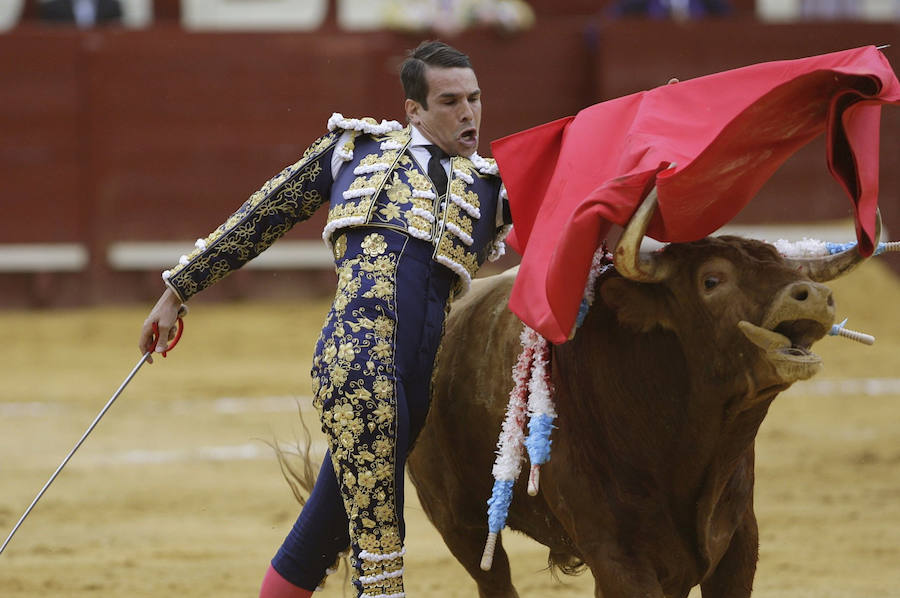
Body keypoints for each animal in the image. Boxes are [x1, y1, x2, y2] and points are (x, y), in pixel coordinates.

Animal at [408, 195, 880, 596]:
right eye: (712, 280)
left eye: (785, 266)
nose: (812, 295)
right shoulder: (616, 554)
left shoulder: (738, 540)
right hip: (458, 521)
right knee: (493, 577)